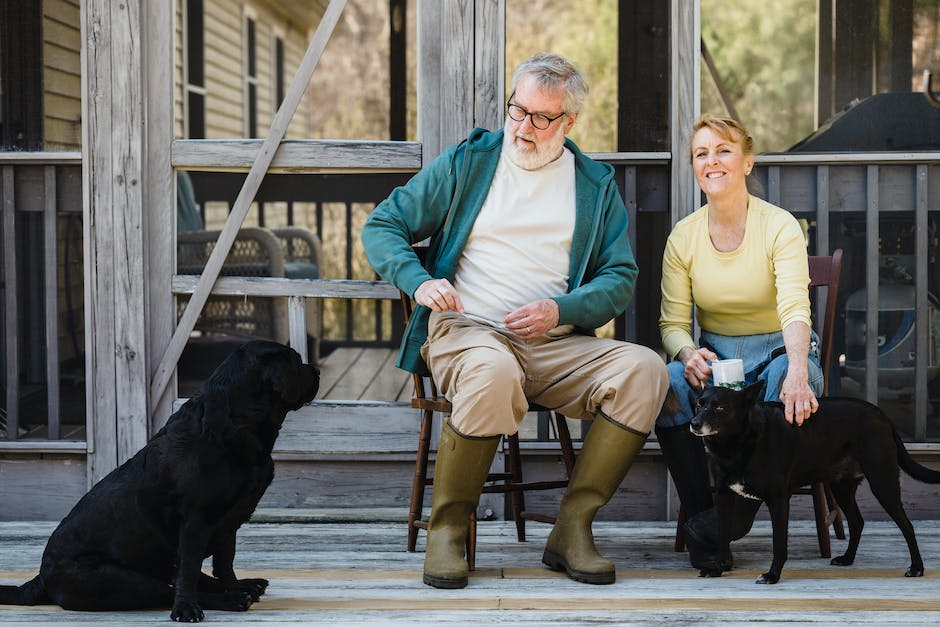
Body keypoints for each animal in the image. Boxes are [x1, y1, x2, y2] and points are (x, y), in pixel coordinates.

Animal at [0, 344, 320, 624]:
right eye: (295, 362)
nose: (316, 370)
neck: (237, 424)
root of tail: (42, 578)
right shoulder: (196, 521)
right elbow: (189, 570)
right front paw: (188, 608)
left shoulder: (228, 524)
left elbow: (224, 562)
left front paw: (233, 583)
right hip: (119, 579)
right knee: (166, 588)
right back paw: (228, 599)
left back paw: (245, 586)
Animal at [688, 380, 940, 588]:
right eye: (699, 404)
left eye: (720, 407)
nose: (694, 424)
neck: (737, 444)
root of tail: (882, 415)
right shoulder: (724, 497)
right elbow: (722, 536)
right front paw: (718, 568)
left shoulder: (778, 500)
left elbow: (779, 543)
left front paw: (773, 575)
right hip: (841, 487)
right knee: (857, 522)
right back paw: (847, 558)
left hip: (882, 482)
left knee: (907, 525)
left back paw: (917, 567)